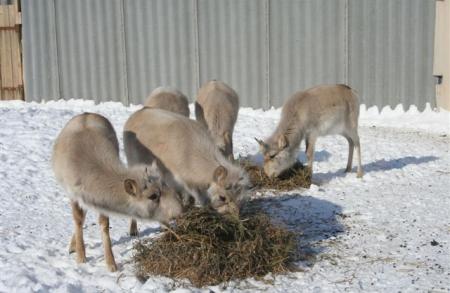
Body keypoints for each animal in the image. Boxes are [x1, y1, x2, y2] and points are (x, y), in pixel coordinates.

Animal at [50, 113, 181, 270]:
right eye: (152, 196)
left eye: (165, 185)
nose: (179, 210)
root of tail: (87, 113)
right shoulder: (73, 194)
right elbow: (78, 219)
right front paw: (81, 257)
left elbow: (104, 224)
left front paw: (111, 263)